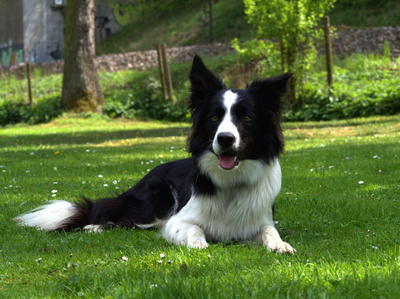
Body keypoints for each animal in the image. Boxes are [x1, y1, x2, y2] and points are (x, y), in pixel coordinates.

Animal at [15, 55, 296, 254]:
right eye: (214, 116)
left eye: (247, 117)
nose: (225, 139)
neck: (231, 184)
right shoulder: (178, 220)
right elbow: (194, 230)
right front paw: (199, 244)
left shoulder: (261, 220)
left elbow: (270, 231)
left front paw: (280, 244)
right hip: (157, 196)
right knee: (120, 218)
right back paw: (93, 226)